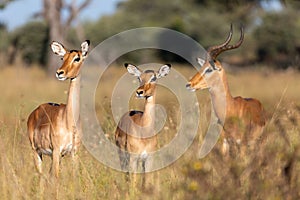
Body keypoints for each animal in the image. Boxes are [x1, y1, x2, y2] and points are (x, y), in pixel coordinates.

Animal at [27, 39, 89, 177]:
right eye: (62, 58)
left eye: (77, 58)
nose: (59, 73)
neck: (69, 121)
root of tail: (35, 111)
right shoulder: (56, 150)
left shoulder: (74, 153)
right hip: (36, 151)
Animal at [186, 25, 266, 155]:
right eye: (202, 67)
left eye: (209, 69)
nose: (189, 84)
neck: (231, 109)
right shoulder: (225, 143)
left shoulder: (242, 144)